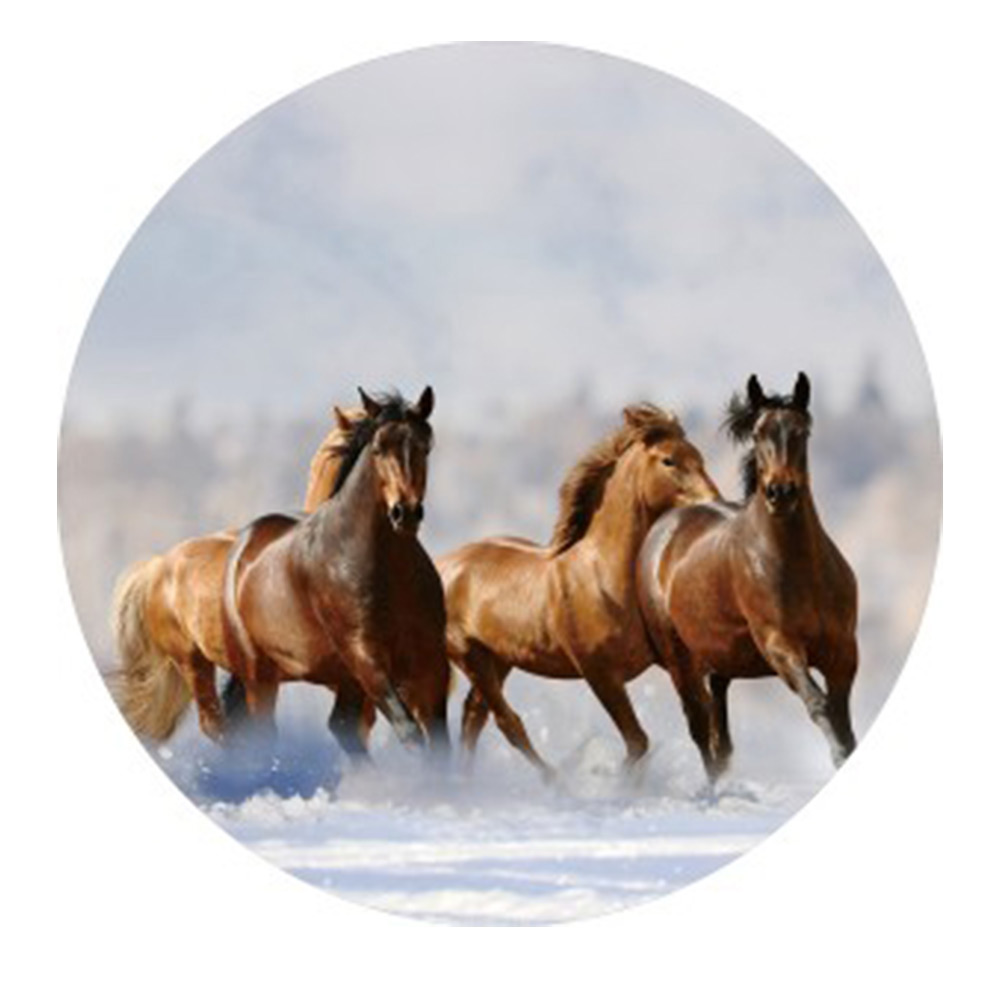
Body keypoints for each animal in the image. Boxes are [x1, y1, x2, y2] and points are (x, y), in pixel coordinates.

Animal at [222, 387, 451, 758]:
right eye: (378, 448)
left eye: (425, 446)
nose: (405, 513)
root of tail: (244, 545)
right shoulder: (366, 656)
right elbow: (410, 731)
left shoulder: (430, 659)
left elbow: (440, 744)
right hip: (260, 675)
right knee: (265, 734)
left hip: (342, 679)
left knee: (342, 727)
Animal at [439, 403, 719, 779]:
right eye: (669, 461)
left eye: (699, 457)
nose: (714, 502)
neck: (605, 577)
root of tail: (441, 565)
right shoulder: (599, 673)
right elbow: (638, 742)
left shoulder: (675, 661)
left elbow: (701, 724)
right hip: (470, 655)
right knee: (506, 722)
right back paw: (555, 780)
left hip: (498, 659)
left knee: (474, 717)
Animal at [636, 373, 858, 781]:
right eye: (757, 433)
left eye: (803, 431)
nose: (780, 492)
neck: (801, 569)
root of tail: (665, 527)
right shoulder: (780, 646)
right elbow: (818, 704)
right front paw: (837, 756)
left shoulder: (844, 652)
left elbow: (841, 718)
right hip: (679, 659)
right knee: (700, 728)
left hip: (720, 659)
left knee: (720, 735)